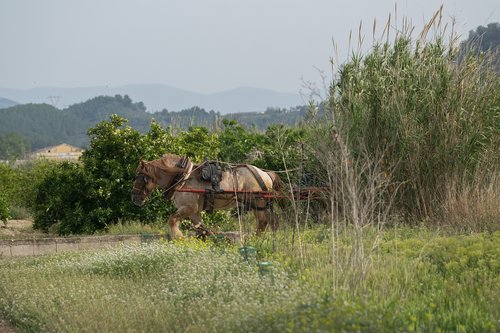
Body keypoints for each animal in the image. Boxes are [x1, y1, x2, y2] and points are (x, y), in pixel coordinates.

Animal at [131, 154, 280, 237]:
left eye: (139, 177)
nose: (134, 198)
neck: (182, 178)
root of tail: (265, 174)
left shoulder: (188, 208)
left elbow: (172, 220)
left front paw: (179, 237)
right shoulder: (193, 212)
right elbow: (203, 229)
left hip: (257, 202)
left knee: (265, 221)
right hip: (258, 205)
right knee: (267, 221)